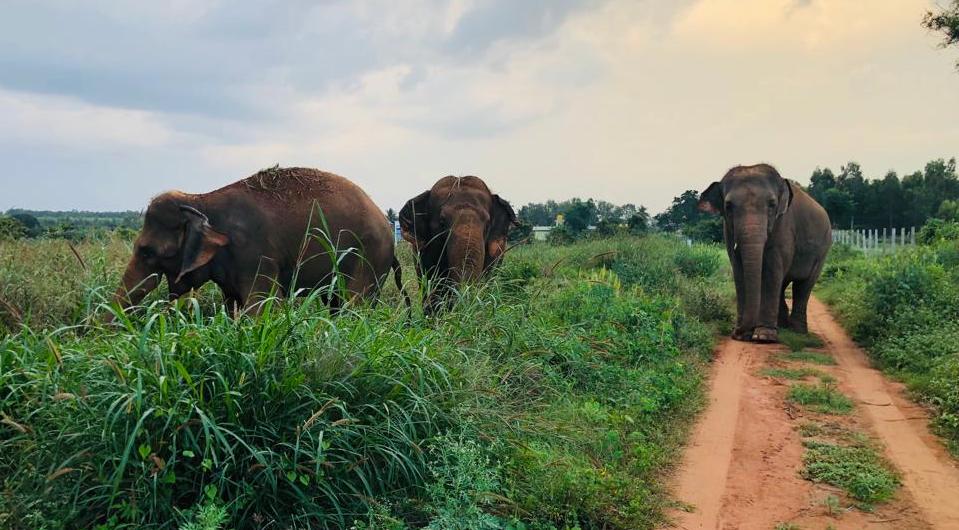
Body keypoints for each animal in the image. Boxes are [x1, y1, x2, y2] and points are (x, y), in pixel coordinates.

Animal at [110, 166, 402, 318]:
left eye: (147, 252)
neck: (200, 200)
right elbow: (231, 307)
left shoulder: (255, 254)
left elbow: (261, 308)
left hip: (370, 258)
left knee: (355, 305)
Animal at [698, 164, 831, 343]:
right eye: (728, 206)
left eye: (772, 204)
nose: (736, 332)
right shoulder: (727, 229)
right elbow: (739, 270)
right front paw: (747, 335)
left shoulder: (783, 225)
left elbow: (771, 270)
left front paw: (763, 337)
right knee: (783, 284)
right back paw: (783, 326)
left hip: (823, 250)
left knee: (803, 285)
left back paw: (797, 331)